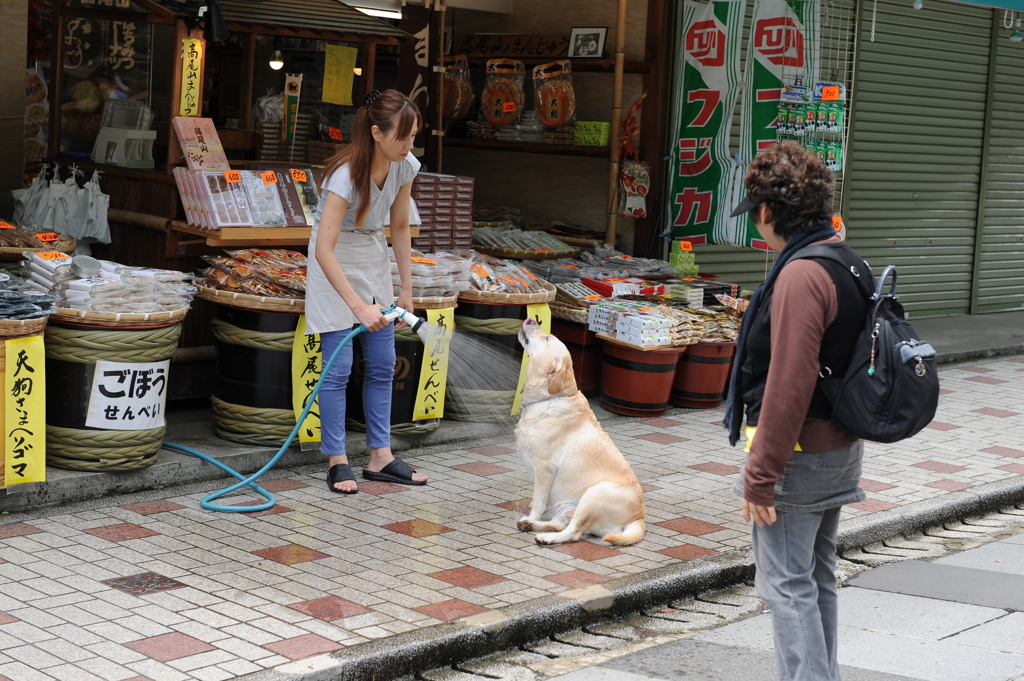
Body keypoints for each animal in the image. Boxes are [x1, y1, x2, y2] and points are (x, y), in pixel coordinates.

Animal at [516, 315, 643, 544]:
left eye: (546, 338)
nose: (531, 319)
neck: (551, 397)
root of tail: (638, 517)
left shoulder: (544, 468)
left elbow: (538, 501)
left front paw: (532, 514)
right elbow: (539, 500)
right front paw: (532, 516)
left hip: (593, 494)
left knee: (573, 532)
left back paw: (543, 536)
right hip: (569, 507)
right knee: (562, 524)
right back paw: (532, 526)